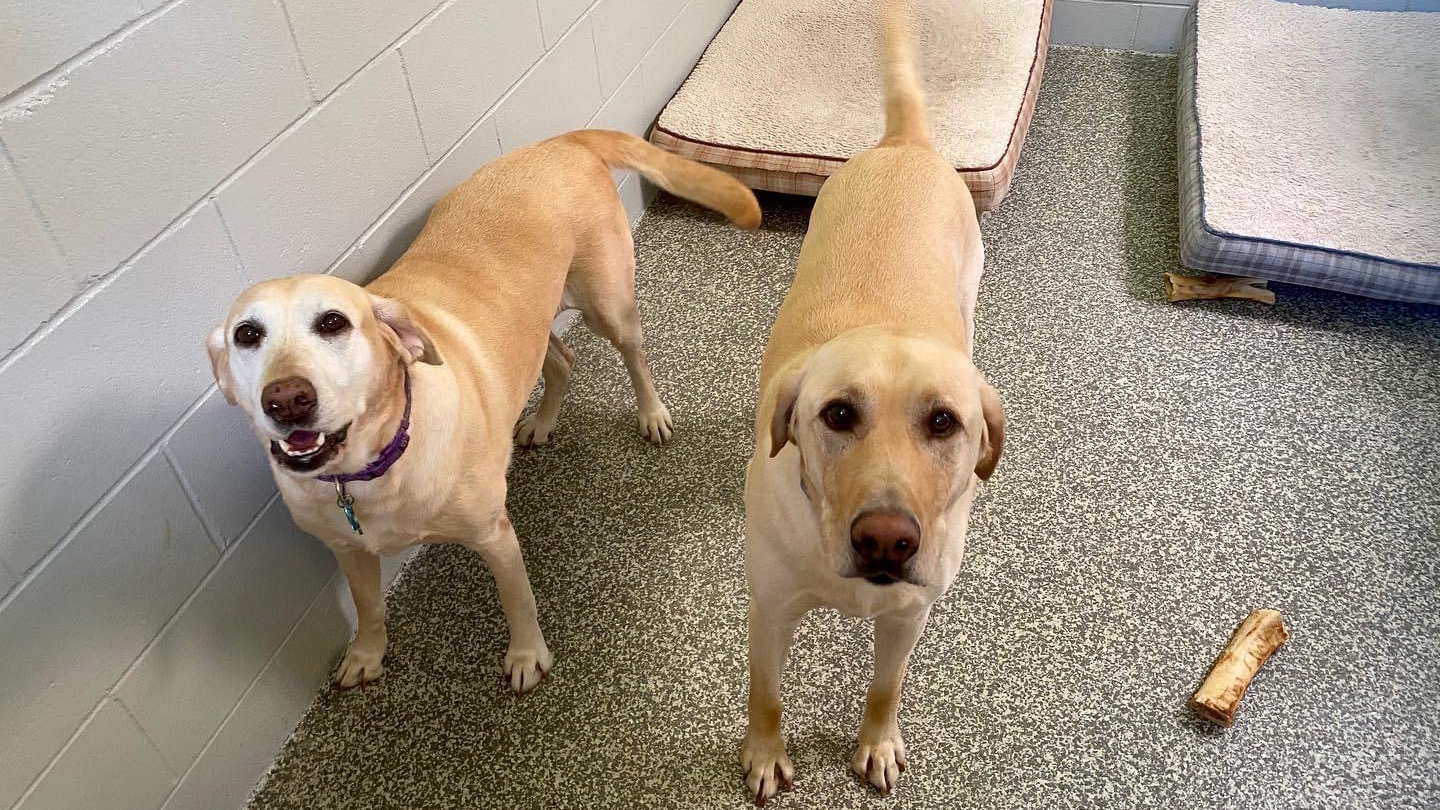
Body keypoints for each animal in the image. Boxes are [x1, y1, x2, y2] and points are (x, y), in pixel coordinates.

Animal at [210, 128, 766, 691]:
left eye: (332, 323)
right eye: (247, 334)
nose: (286, 399)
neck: (374, 465)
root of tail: (560, 142)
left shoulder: (494, 536)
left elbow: (516, 599)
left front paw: (527, 656)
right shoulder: (348, 550)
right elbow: (368, 608)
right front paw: (367, 654)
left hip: (607, 305)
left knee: (636, 357)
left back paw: (651, 414)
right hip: (533, 323)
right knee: (561, 362)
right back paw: (542, 422)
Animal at [743, 1, 1002, 801]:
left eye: (944, 422)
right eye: (838, 414)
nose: (887, 540)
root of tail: (903, 142)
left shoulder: (908, 616)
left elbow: (885, 688)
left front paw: (877, 744)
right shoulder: (770, 612)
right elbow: (766, 695)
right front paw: (763, 755)